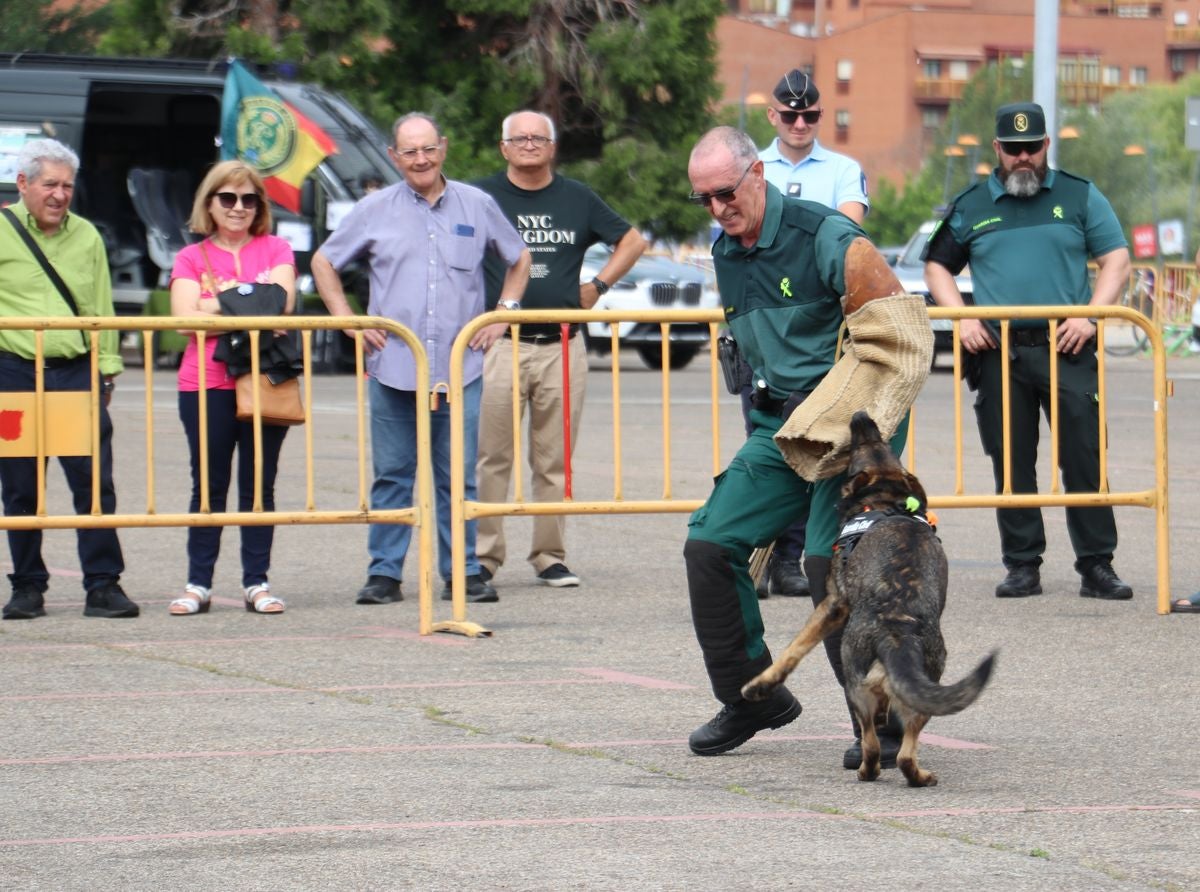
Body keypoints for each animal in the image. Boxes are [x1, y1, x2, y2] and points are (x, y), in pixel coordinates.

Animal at [739, 410, 993, 787]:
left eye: (864, 447)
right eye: (882, 445)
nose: (861, 415)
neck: (888, 502)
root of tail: (896, 628)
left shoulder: (833, 604)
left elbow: (793, 650)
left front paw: (760, 684)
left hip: (853, 677)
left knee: (879, 747)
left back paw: (872, 770)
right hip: (921, 685)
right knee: (901, 747)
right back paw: (913, 773)